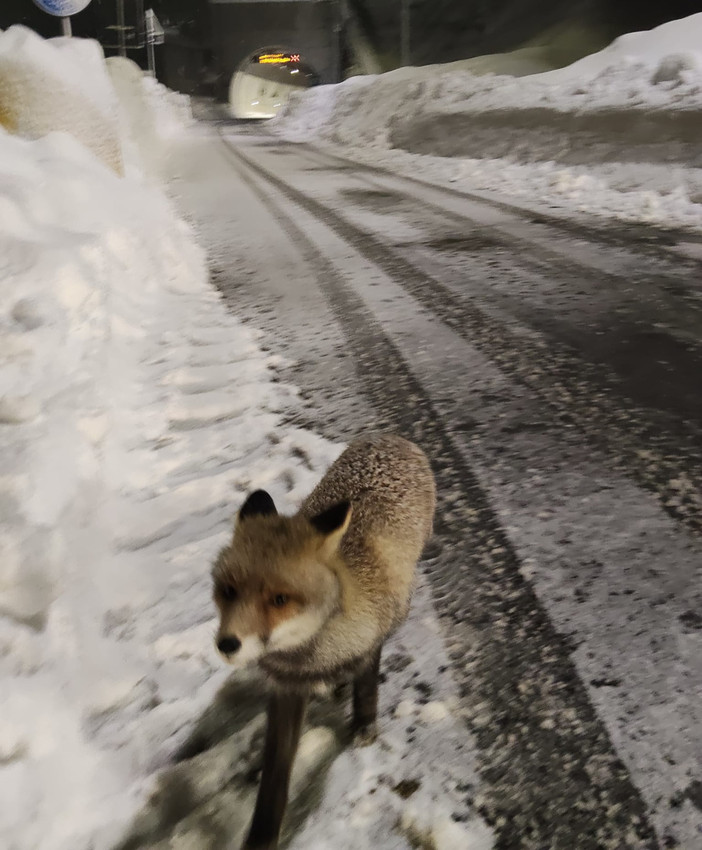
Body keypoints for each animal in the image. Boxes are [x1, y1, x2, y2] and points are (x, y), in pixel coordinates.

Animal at [212, 433, 436, 850]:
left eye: (279, 600)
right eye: (228, 591)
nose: (228, 644)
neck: (311, 658)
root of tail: (387, 437)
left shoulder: (370, 644)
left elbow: (367, 689)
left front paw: (364, 725)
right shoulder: (284, 687)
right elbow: (274, 778)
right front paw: (263, 836)